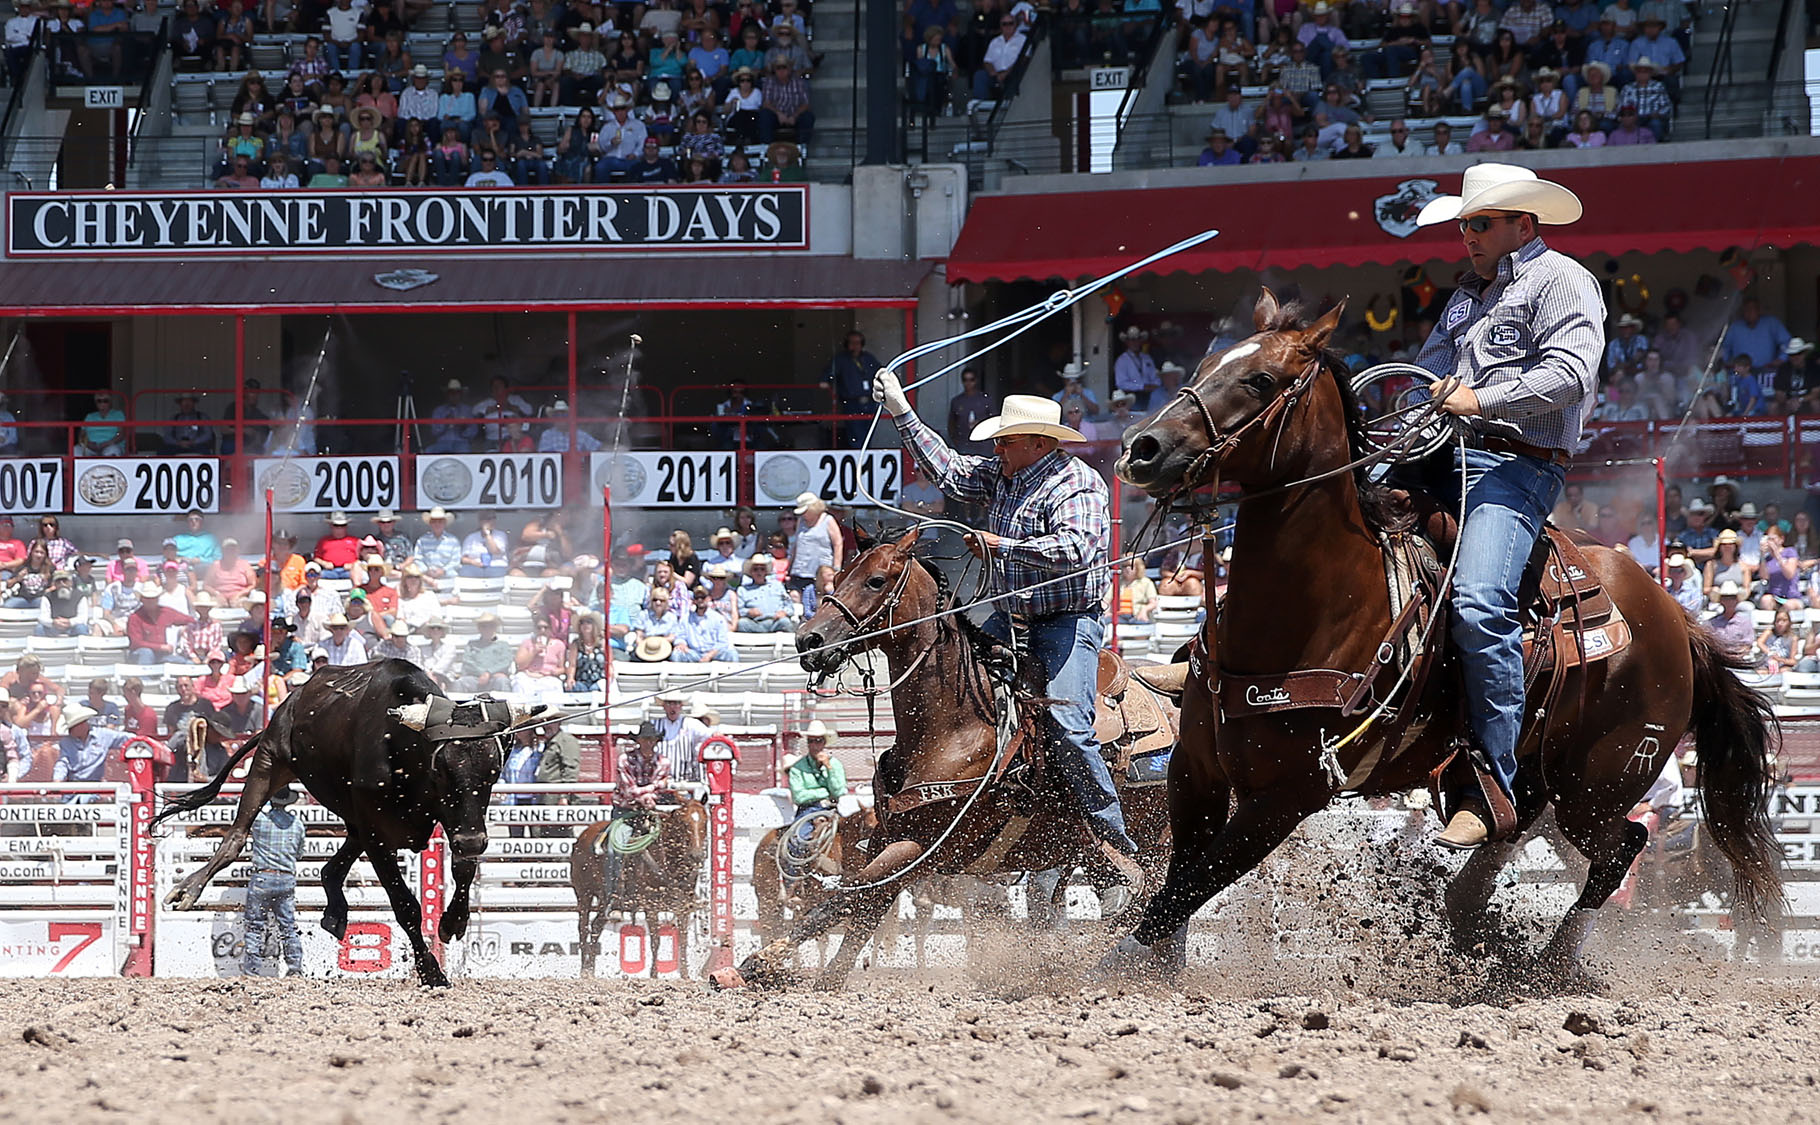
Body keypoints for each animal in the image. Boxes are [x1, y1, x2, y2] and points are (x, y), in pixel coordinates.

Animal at [567, 797, 709, 975]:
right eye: (683, 823)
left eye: (705, 821)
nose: (696, 855)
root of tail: (583, 835)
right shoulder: (651, 907)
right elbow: (655, 940)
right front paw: (654, 975)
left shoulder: (683, 907)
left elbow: (682, 941)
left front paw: (685, 975)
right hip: (583, 894)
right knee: (583, 928)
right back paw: (583, 970)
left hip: (604, 899)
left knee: (596, 926)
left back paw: (590, 969)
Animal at [717, 531, 1172, 983]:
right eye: (841, 575)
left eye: (876, 581)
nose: (809, 640)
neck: (954, 729)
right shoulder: (888, 838)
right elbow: (862, 913)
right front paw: (819, 978)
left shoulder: (925, 847)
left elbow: (848, 899)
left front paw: (760, 961)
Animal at [1106, 287, 1776, 975]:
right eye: (1205, 362)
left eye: (1261, 379)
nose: (1142, 447)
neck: (1315, 610)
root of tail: (1674, 618)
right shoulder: (1195, 770)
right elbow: (1174, 883)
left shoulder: (1284, 798)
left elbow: (1185, 890)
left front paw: (1119, 963)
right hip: (1537, 774)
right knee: (1511, 827)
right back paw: (1473, 922)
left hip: (1598, 786)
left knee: (1622, 847)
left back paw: (1551, 964)